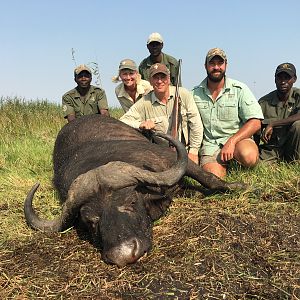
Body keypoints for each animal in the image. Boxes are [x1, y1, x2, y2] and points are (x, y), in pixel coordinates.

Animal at [24, 113, 245, 266]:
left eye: (131, 202)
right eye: (91, 221)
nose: (124, 255)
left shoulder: (169, 157)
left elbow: (209, 178)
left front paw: (238, 186)